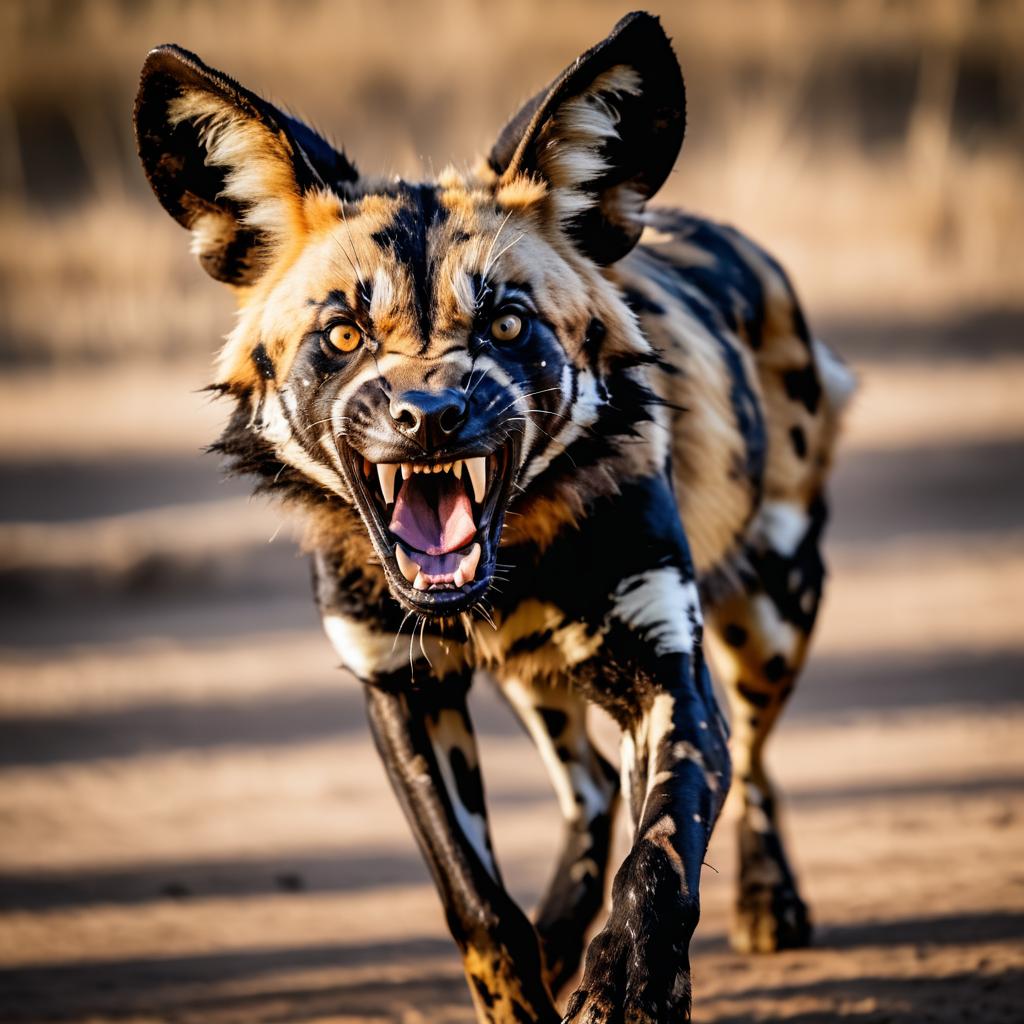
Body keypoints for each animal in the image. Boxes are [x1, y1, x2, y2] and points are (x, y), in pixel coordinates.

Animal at [136, 12, 851, 1019]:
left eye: (508, 326)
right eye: (344, 335)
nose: (431, 416)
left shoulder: (666, 675)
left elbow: (660, 861)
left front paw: (631, 983)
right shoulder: (403, 692)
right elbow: (478, 906)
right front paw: (530, 977)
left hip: (770, 620)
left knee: (749, 760)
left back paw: (767, 900)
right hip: (538, 680)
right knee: (590, 786)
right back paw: (561, 932)